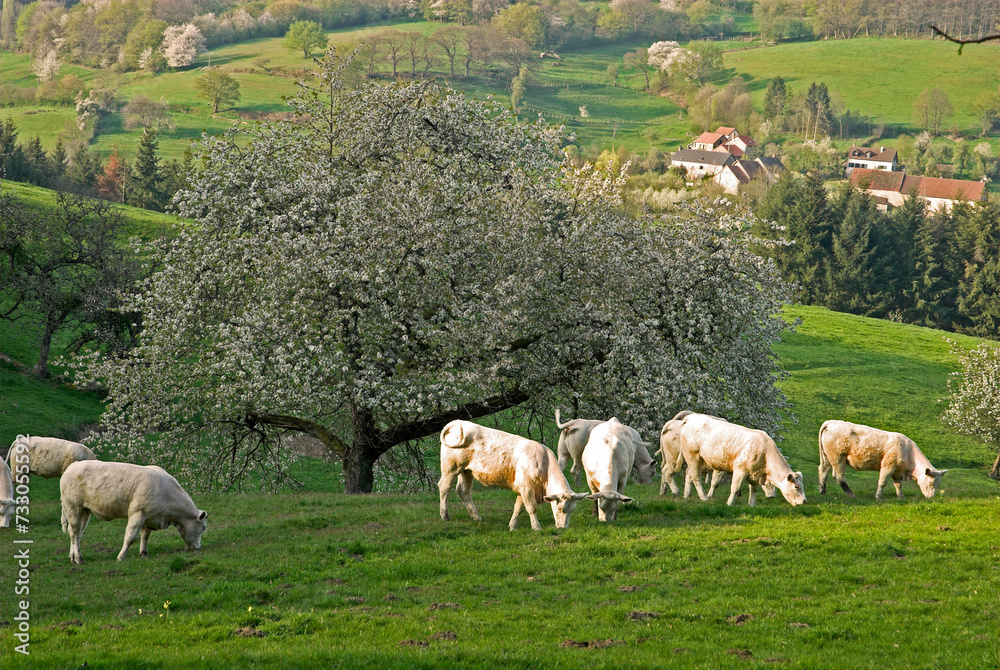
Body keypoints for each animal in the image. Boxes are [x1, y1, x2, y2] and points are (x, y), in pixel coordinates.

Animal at [60, 460, 208, 564]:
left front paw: (143, 553)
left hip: (85, 511)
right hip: (73, 508)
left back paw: (72, 556)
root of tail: (73, 465)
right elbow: (130, 537)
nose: (198, 548)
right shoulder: (138, 513)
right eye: (203, 528)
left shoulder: (149, 517)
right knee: (75, 533)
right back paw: (79, 559)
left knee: (77, 533)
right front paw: (121, 556)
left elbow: (145, 536)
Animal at [438, 420, 589, 531]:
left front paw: (512, 526)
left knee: (463, 491)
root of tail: (457, 422)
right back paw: (445, 516)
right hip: (451, 469)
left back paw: (476, 517)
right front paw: (536, 527)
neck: (543, 464)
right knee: (444, 488)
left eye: (573, 510)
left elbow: (518, 508)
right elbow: (531, 508)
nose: (563, 528)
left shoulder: (522, 488)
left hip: (466, 471)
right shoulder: (527, 487)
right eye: (559, 508)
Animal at [677, 413, 805, 507]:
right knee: (696, 477)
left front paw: (752, 504)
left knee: (689, 475)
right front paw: (729, 503)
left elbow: (753, 489)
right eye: (797, 486)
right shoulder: (740, 470)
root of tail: (691, 417)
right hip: (693, 456)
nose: (804, 501)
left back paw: (686, 495)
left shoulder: (755, 474)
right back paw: (703, 497)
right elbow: (735, 488)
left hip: (697, 460)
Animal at [818, 420, 947, 500]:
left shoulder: (897, 470)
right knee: (839, 477)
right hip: (838, 458)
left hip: (827, 458)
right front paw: (878, 497)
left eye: (938, 483)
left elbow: (898, 484)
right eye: (930, 482)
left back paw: (823, 491)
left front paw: (900, 497)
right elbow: (883, 481)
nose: (931, 497)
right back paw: (851, 495)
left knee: (823, 471)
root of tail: (831, 422)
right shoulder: (888, 465)